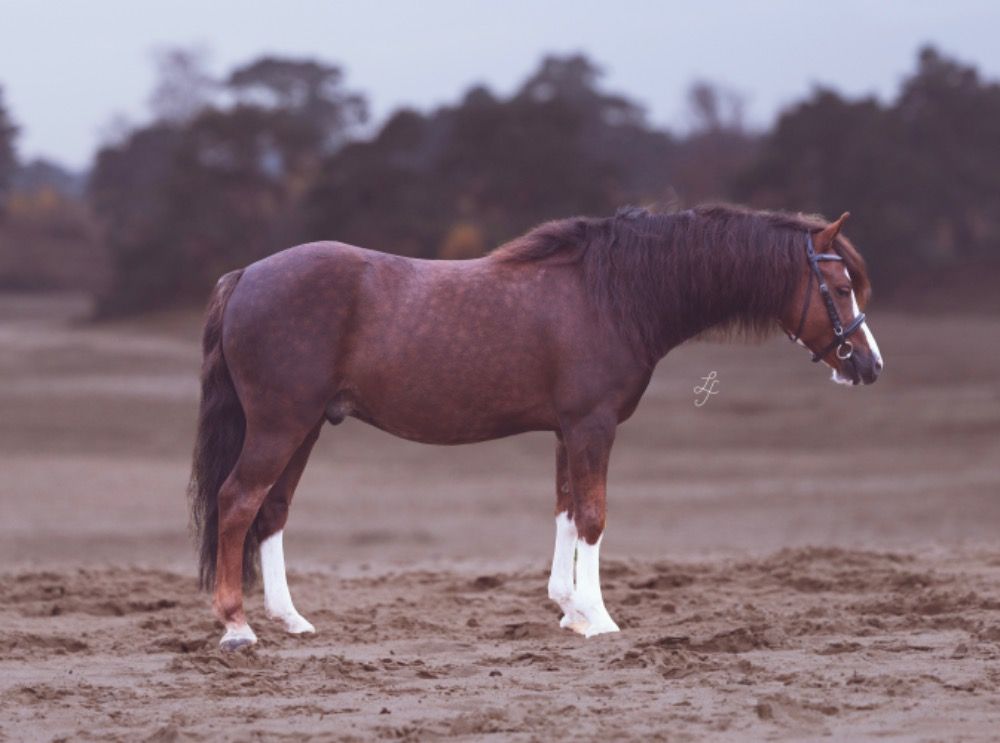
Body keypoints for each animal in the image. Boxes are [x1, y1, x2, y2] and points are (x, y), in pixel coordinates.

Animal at [188, 204, 883, 650]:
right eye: (839, 284)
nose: (869, 365)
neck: (612, 294)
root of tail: (244, 275)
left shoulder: (566, 431)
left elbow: (567, 513)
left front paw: (571, 610)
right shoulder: (592, 426)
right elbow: (595, 516)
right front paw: (599, 618)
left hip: (304, 428)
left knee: (271, 511)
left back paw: (289, 620)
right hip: (281, 425)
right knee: (237, 501)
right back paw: (237, 628)